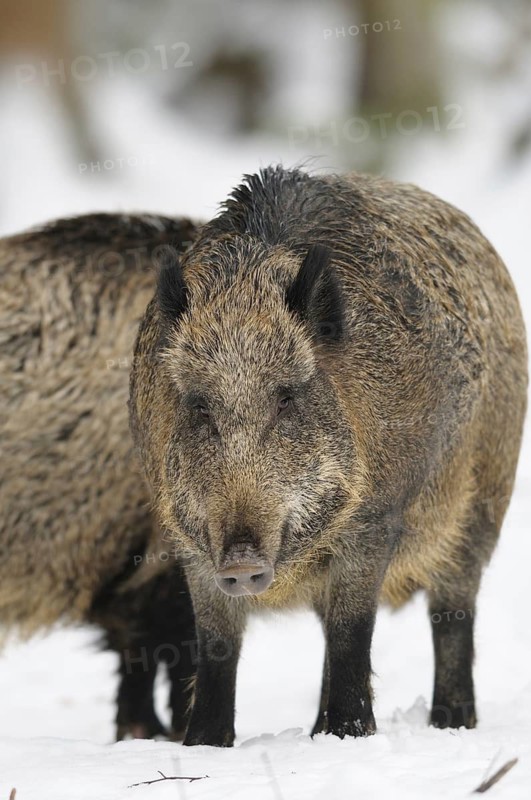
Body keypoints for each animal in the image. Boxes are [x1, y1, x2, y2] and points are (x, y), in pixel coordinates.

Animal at [129, 165, 527, 746]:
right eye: (199, 405)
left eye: (287, 398)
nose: (243, 561)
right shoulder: (190, 539)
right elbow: (218, 643)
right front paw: (204, 745)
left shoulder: (375, 518)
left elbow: (351, 630)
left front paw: (349, 736)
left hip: (487, 497)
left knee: (453, 610)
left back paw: (451, 724)